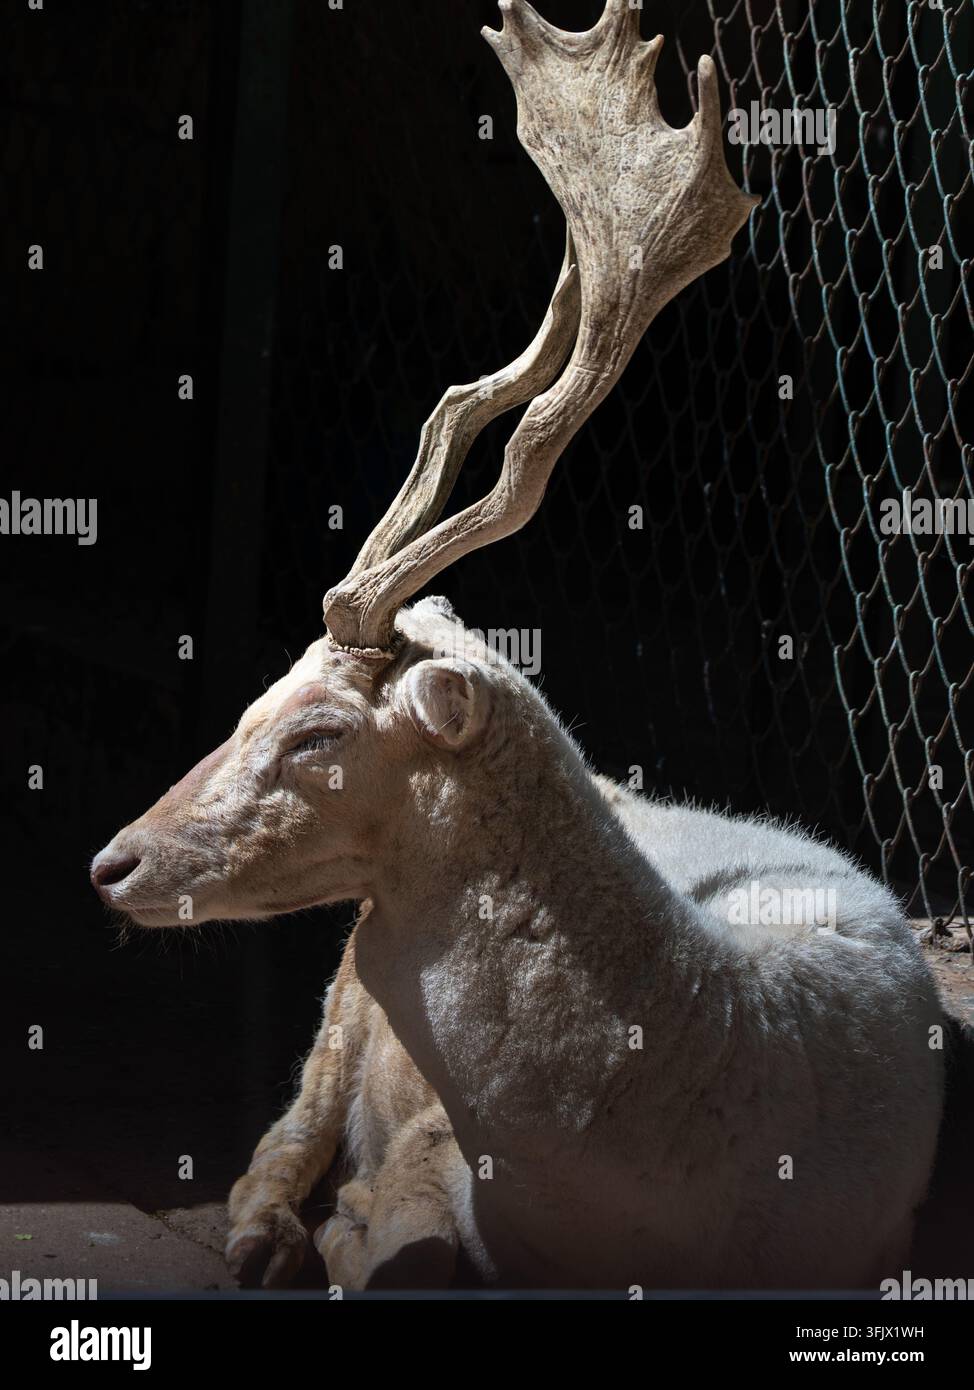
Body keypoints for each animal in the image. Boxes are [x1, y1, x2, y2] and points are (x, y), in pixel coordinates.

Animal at [90, 0, 944, 1291]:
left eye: (319, 732)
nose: (113, 863)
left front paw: (346, 1235)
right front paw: (327, 1231)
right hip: (339, 997)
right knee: (284, 1128)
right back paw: (259, 1234)